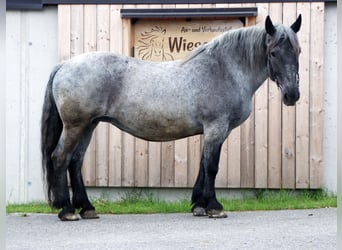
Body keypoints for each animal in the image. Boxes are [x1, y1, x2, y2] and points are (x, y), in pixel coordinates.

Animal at [40, 15, 302, 221]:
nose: (292, 95)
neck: (223, 69)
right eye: (273, 52)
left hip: (89, 125)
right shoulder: (216, 128)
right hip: (76, 126)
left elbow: (202, 166)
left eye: (298, 51)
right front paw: (214, 207)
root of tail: (64, 66)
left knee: (75, 162)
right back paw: (67, 210)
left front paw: (198, 206)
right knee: (60, 157)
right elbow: (211, 166)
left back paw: (87, 208)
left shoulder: (213, 131)